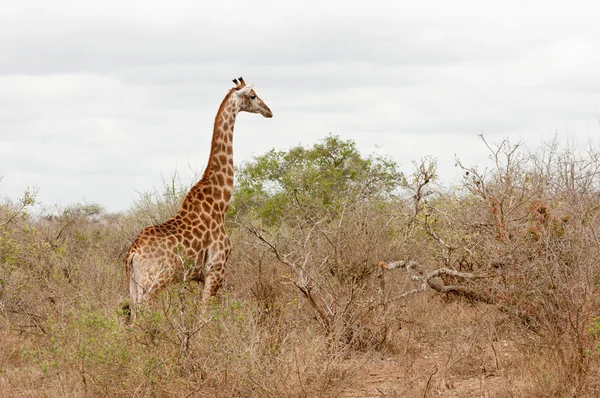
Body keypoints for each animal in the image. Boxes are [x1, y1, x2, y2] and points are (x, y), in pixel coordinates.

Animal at [125, 77, 274, 312]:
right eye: (253, 96)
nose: (269, 111)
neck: (219, 202)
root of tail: (132, 253)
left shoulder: (202, 277)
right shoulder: (215, 269)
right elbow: (205, 314)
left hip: (133, 285)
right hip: (152, 283)